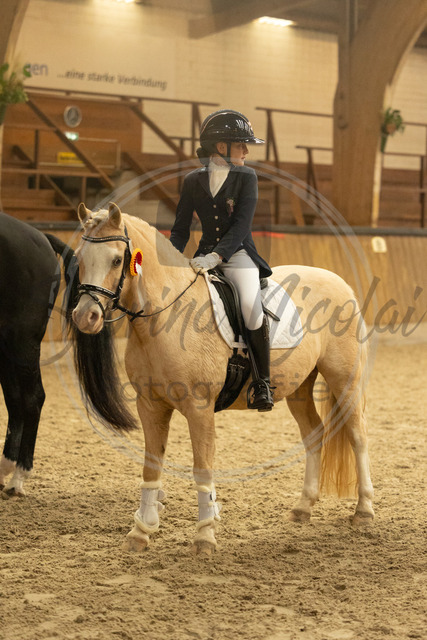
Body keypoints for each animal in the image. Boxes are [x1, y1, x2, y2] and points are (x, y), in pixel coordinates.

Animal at [70, 202, 374, 555]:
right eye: (80, 258)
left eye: (117, 260)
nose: (85, 317)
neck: (166, 317)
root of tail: (340, 282)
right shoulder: (150, 406)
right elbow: (151, 466)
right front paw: (141, 532)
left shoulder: (199, 409)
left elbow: (202, 468)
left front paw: (204, 535)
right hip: (300, 386)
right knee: (314, 433)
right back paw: (303, 507)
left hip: (344, 379)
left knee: (357, 435)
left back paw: (364, 511)